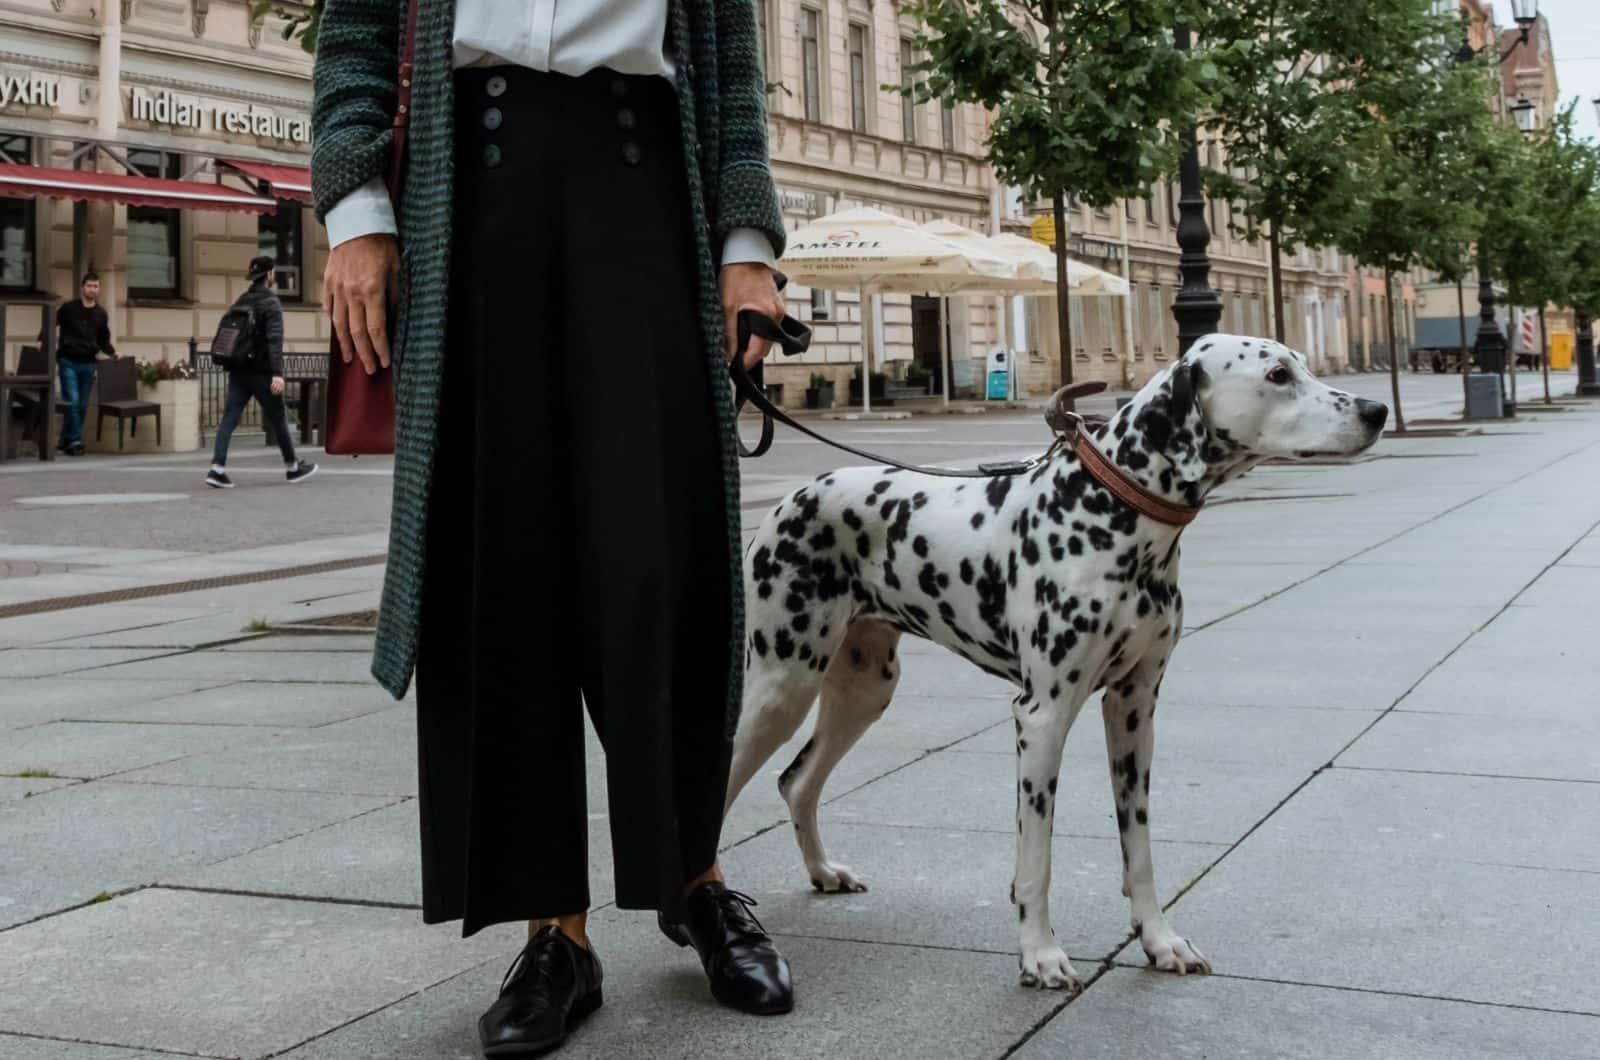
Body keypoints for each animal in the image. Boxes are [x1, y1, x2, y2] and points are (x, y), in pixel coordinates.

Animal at [729, 336, 1388, 992]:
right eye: (1277, 375)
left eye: (1300, 364)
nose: (1377, 410)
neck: (1110, 510)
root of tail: (793, 497)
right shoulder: (1042, 717)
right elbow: (1036, 859)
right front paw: (1040, 955)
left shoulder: (1133, 711)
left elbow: (1139, 849)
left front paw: (1160, 940)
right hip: (779, 690)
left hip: (863, 690)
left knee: (797, 781)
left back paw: (823, 871)